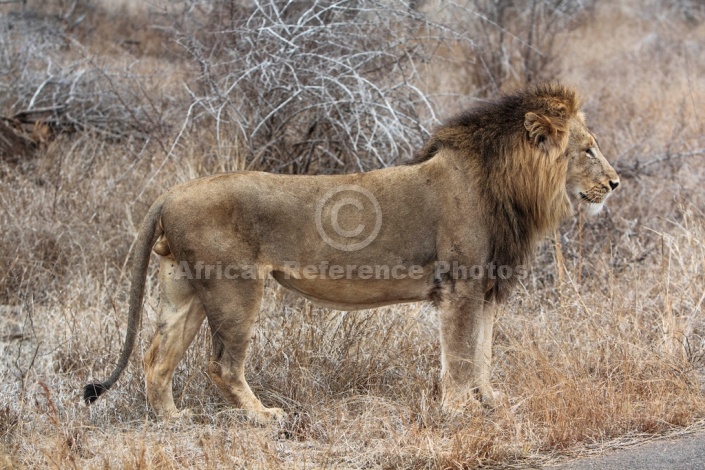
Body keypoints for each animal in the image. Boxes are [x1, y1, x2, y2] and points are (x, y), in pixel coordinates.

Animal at [85, 81, 620, 422]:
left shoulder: (488, 288)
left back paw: (172, 419)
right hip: (234, 289)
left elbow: (484, 354)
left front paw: (490, 403)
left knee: (156, 359)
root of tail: (171, 193)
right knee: (221, 365)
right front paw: (459, 411)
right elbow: (460, 355)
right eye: (588, 149)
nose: (616, 183)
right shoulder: (461, 287)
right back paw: (263, 417)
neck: (509, 189)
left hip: (185, 290)